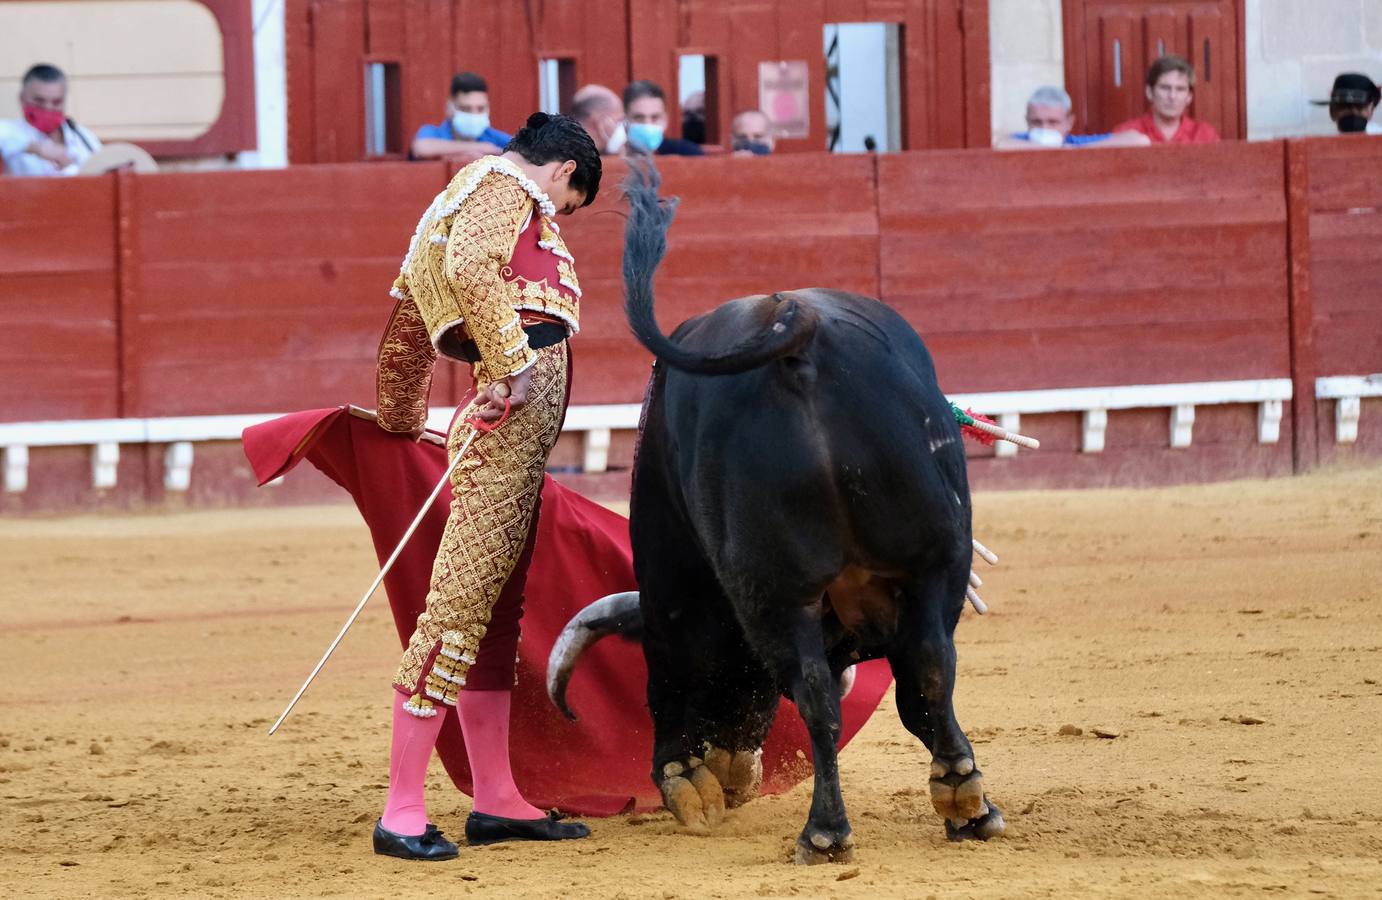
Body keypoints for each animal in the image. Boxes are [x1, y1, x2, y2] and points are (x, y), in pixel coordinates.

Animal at [547, 165, 1006, 862]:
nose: (738, 775)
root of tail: (799, 325)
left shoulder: (671, 583)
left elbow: (674, 670)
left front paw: (685, 782)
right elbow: (916, 687)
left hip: (776, 587)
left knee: (821, 691)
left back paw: (824, 831)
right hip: (936, 557)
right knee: (928, 666)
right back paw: (964, 800)